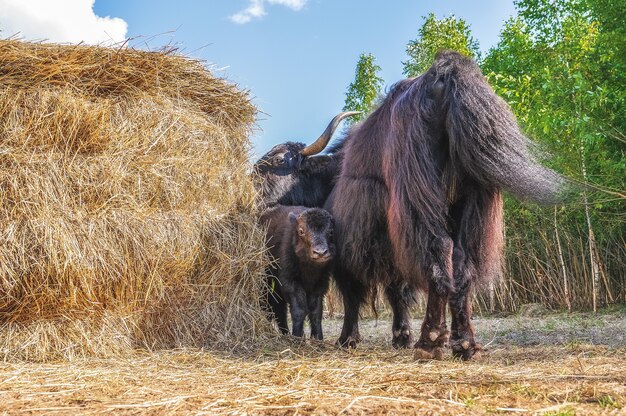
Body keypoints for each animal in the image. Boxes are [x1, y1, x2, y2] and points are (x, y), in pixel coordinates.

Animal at [260, 204, 334, 338]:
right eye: (301, 231)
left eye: (331, 231)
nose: (320, 252)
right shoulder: (290, 282)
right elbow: (299, 309)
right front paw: (297, 336)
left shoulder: (320, 284)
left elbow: (316, 311)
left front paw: (318, 338)